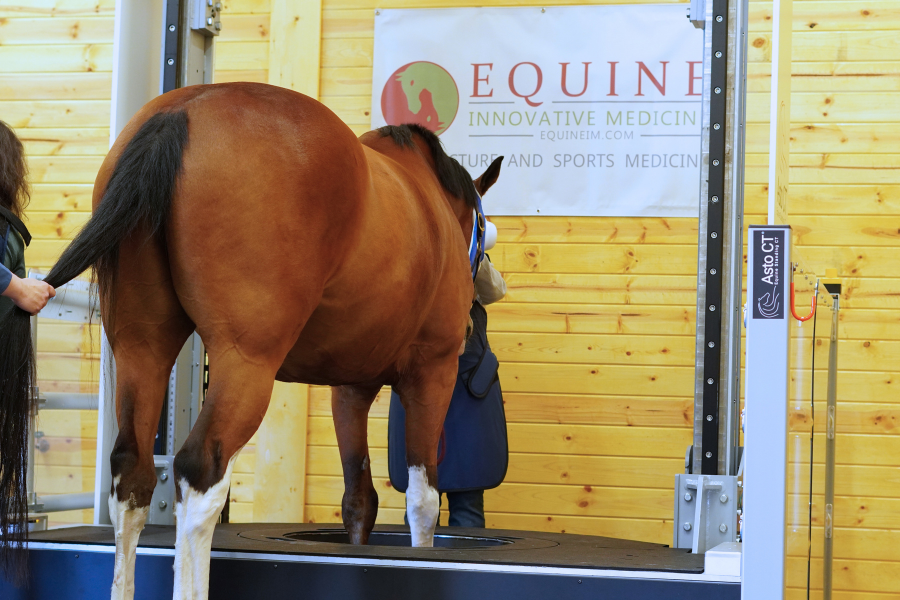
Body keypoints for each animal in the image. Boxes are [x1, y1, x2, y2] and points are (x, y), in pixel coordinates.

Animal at [0, 81, 503, 599]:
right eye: (486, 230)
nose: (491, 287)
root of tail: (181, 112)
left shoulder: (350, 388)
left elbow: (359, 498)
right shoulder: (433, 372)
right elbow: (423, 500)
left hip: (142, 348)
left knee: (132, 476)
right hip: (247, 362)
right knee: (200, 474)